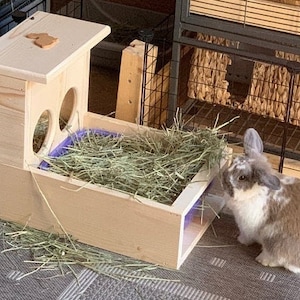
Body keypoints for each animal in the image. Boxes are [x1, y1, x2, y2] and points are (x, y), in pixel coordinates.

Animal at [221, 127, 300, 274]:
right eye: (234, 160)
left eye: (242, 177)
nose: (223, 182)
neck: (256, 191)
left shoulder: (247, 225)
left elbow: (246, 236)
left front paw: (240, 240)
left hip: (273, 239)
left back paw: (263, 260)